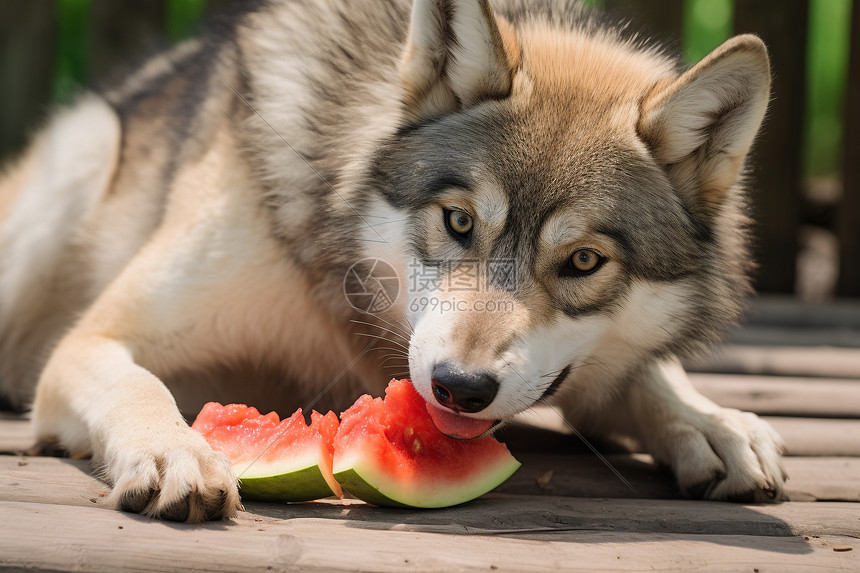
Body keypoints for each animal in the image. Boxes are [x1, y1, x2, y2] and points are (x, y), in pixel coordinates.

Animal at [0, 0, 788, 520]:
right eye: (459, 221)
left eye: (585, 261)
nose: (460, 388)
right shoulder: (88, 343)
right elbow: (140, 385)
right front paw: (176, 452)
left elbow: (647, 375)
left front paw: (714, 422)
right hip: (76, 164)